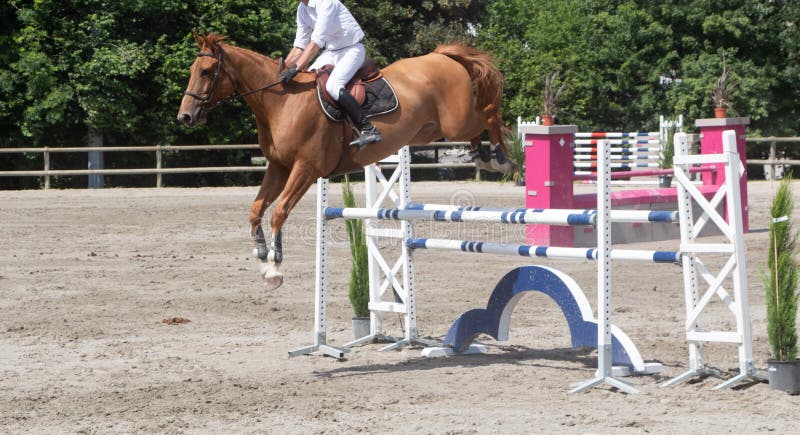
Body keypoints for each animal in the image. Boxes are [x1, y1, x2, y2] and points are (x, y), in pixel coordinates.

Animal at [177, 33, 512, 290]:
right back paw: (483, 157)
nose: (186, 116)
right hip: (435, 129)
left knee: (489, 113)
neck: (281, 101)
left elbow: (279, 212)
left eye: (206, 71)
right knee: (479, 124)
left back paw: (501, 158)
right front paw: (261, 255)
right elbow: (256, 209)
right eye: (192, 68)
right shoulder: (279, 167)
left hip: (457, 122)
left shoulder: (306, 169)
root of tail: (442, 56)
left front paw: (274, 268)